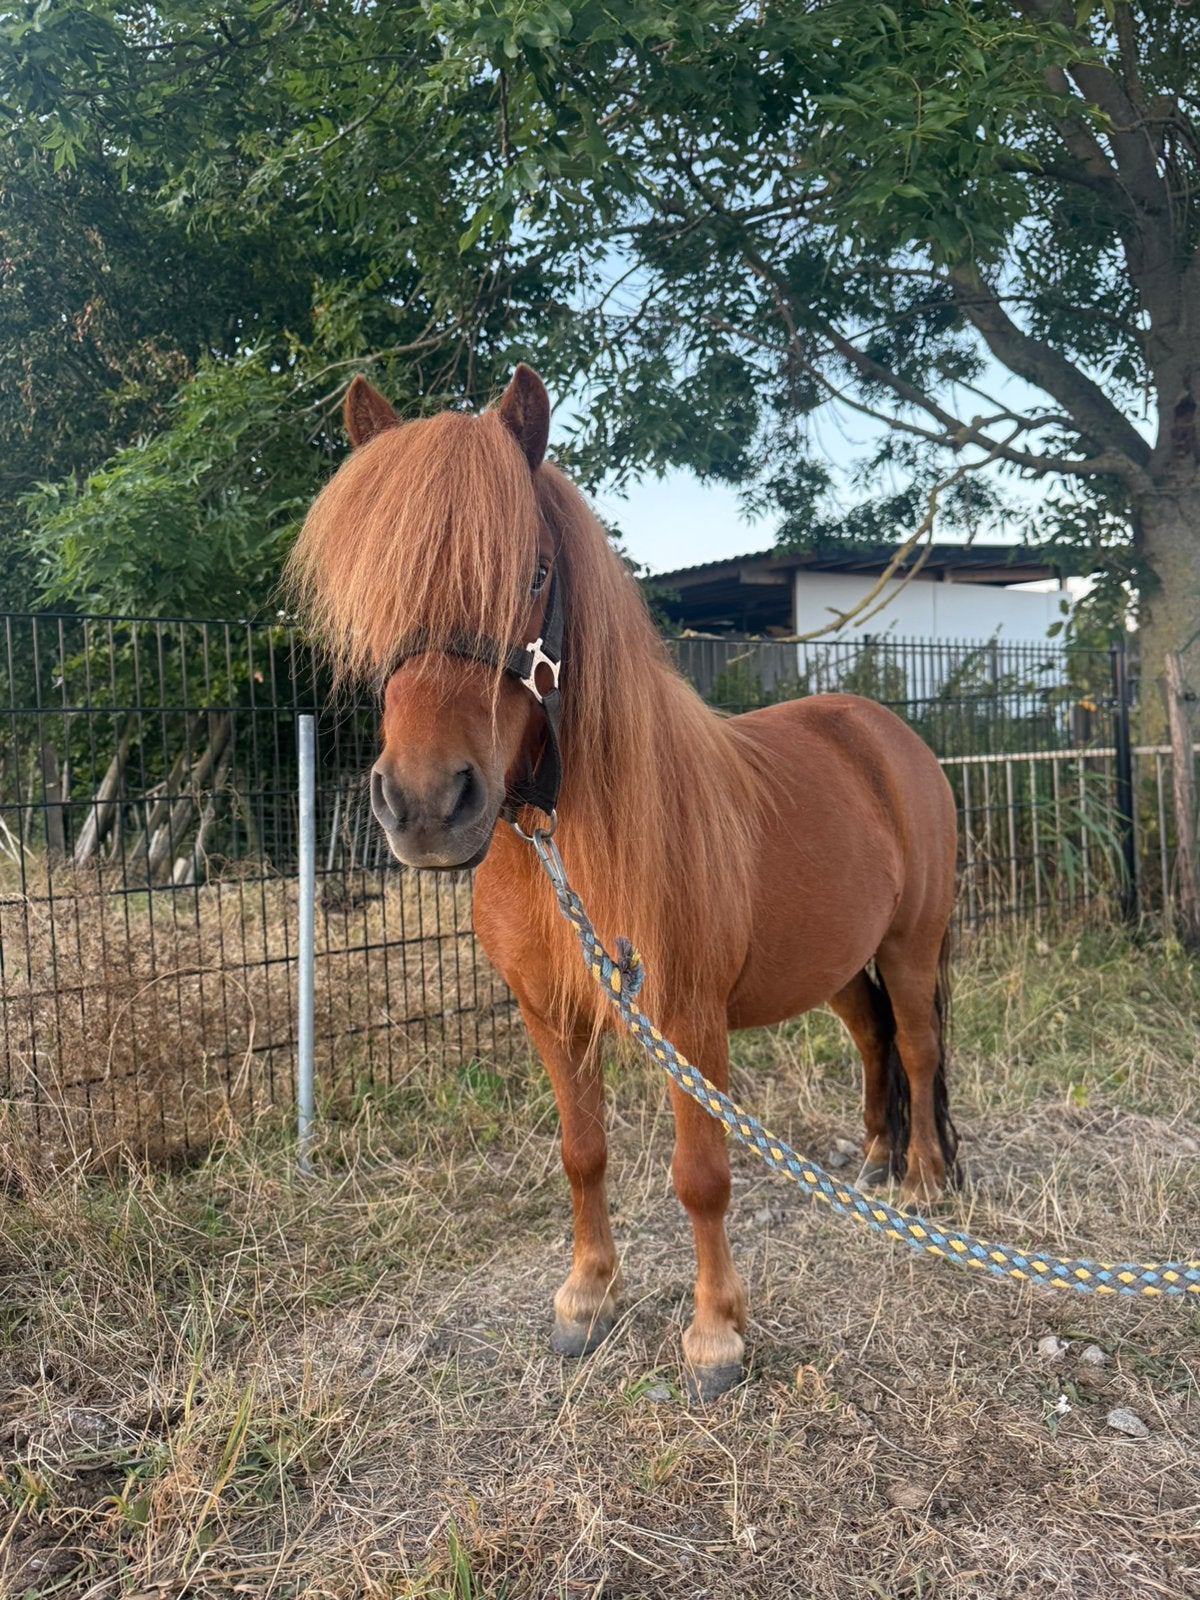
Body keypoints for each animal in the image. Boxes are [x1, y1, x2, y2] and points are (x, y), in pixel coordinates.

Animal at [287, 365, 959, 1400]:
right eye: (379, 587)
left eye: (531, 574)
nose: (427, 805)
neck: (568, 848)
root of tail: (886, 732)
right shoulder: (550, 1013)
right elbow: (582, 1152)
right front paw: (586, 1299)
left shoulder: (688, 1017)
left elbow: (703, 1174)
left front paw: (715, 1336)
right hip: (840, 964)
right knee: (874, 1039)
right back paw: (879, 1163)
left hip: (912, 944)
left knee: (919, 1047)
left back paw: (923, 1181)